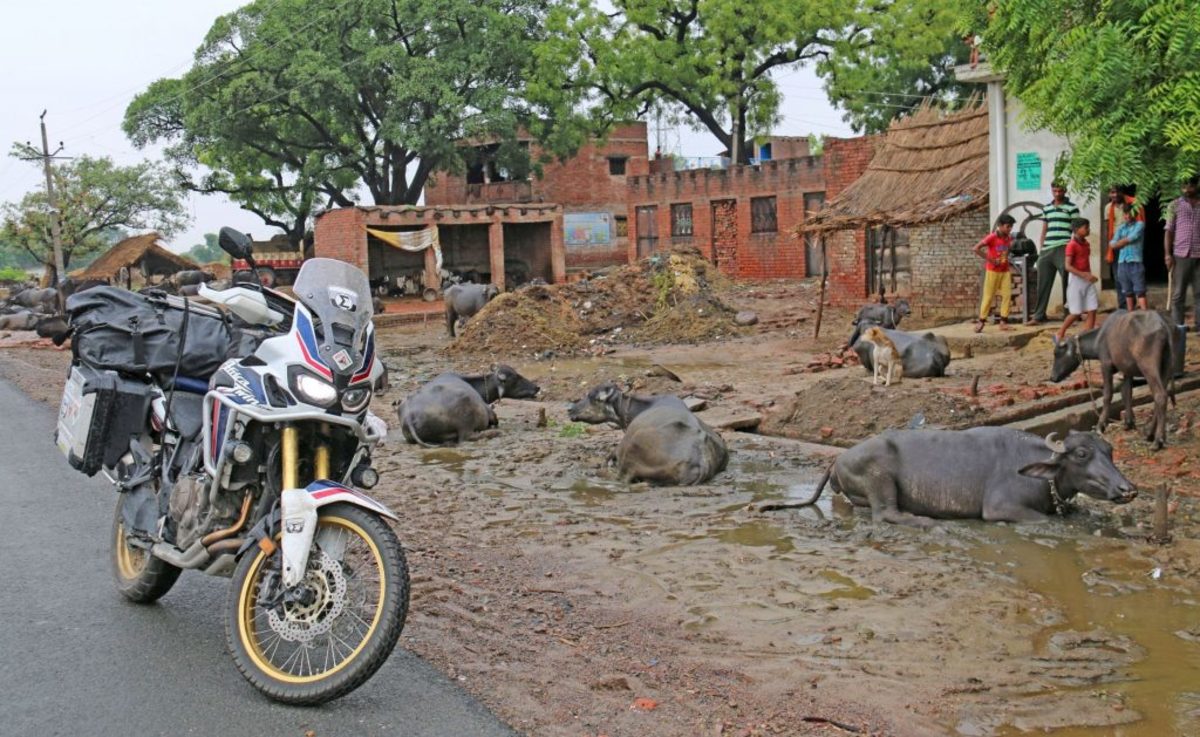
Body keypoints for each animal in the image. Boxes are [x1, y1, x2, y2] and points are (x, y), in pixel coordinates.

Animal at [398, 364, 540, 444]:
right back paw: (494, 433)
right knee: (466, 437)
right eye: (516, 377)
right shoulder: (490, 412)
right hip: (465, 422)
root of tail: (409, 416)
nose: (537, 387)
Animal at [758, 429, 1132, 528]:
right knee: (885, 513)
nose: (1128, 489)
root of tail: (837, 459)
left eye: (1110, 450)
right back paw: (925, 521)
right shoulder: (1000, 508)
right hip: (880, 477)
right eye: (1081, 454)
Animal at [1051, 312, 1171, 451]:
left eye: (1057, 353)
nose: (1052, 377)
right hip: (1165, 368)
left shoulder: (1106, 365)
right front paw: (1128, 423)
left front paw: (1100, 426)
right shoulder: (1126, 370)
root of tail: (1163, 326)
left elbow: (1108, 395)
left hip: (1148, 367)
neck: (1099, 339)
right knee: (1162, 395)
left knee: (1160, 396)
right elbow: (1126, 394)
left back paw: (1157, 440)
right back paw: (1150, 434)